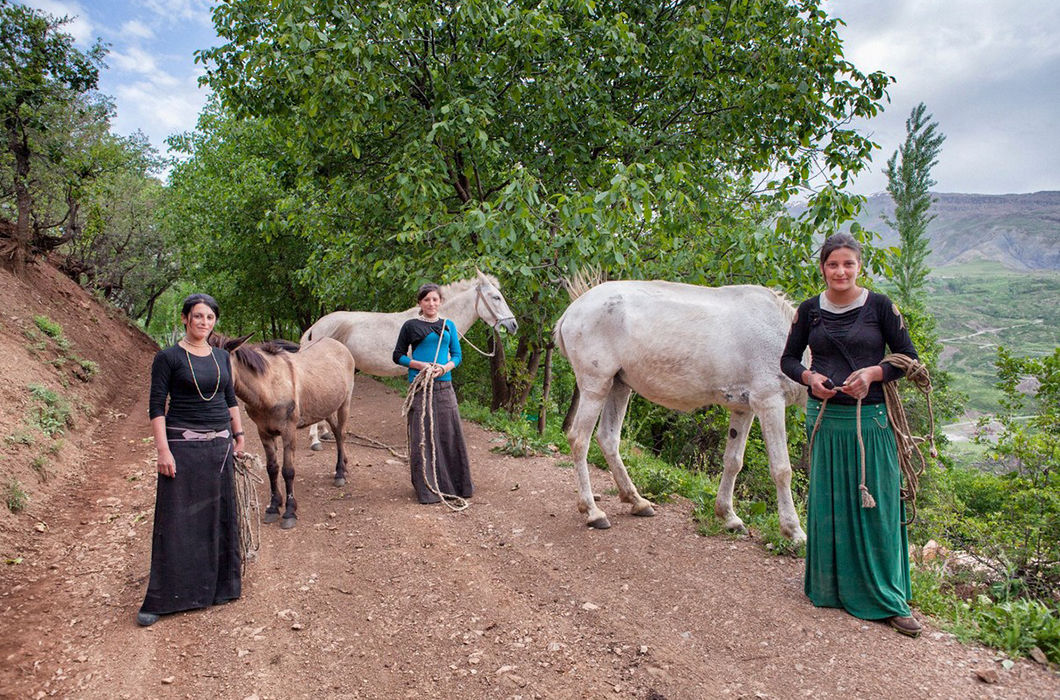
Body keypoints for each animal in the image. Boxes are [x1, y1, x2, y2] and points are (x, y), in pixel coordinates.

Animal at [209, 337, 356, 528]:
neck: (269, 388)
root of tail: (337, 343)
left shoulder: (289, 432)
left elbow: (288, 471)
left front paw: (289, 511)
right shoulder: (264, 432)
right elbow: (272, 468)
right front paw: (273, 507)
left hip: (344, 403)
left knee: (342, 434)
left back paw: (339, 473)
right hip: (326, 406)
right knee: (337, 433)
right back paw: (343, 466)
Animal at [555, 280, 801, 540]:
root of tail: (571, 311)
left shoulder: (743, 408)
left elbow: (733, 461)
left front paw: (729, 517)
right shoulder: (770, 401)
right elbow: (781, 468)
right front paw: (794, 530)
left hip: (619, 385)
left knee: (608, 438)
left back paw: (638, 501)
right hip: (596, 385)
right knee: (579, 439)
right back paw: (593, 512)